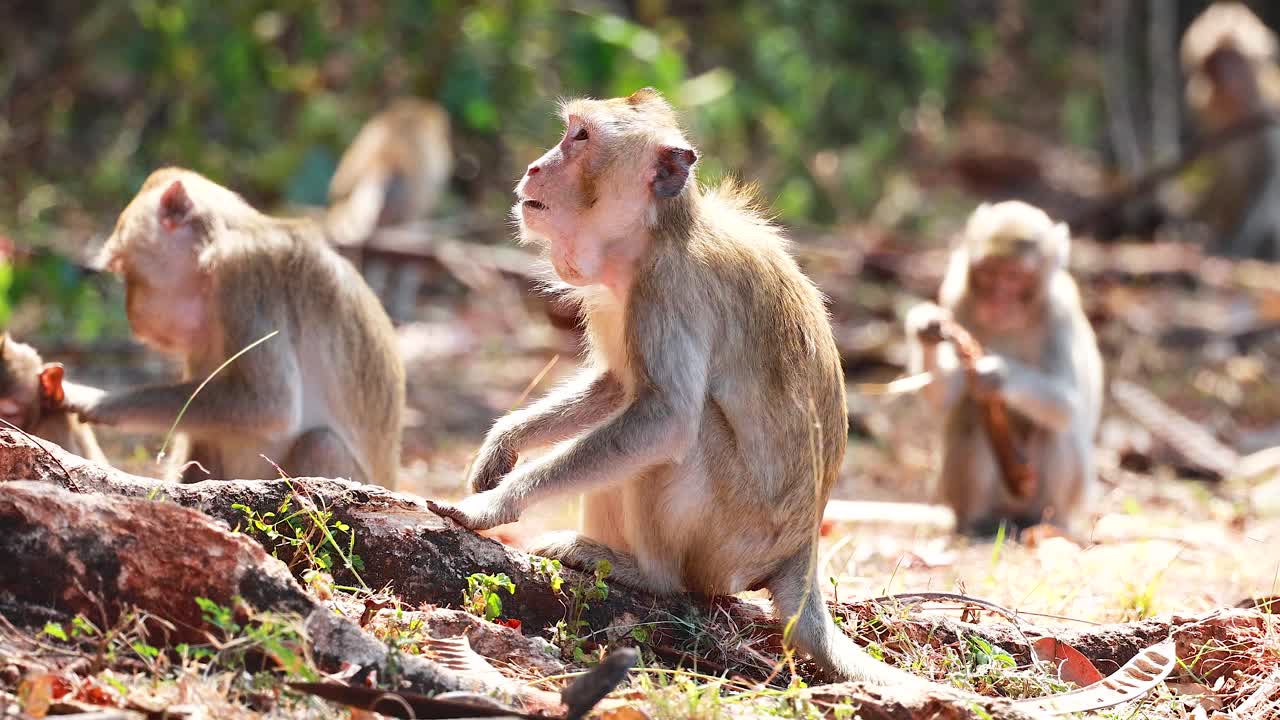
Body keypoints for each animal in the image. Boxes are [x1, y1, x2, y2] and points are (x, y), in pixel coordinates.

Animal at [66, 168, 405, 487]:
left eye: (124, 270)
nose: (131, 313)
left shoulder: (244, 275)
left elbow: (270, 405)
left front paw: (98, 401)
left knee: (321, 443)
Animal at [428, 89, 933, 687]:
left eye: (581, 138)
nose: (534, 167)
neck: (656, 234)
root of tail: (801, 550)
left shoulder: (667, 289)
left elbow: (665, 417)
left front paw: (498, 503)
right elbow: (617, 386)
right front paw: (504, 441)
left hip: (729, 541)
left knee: (685, 437)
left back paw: (648, 575)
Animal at [904, 201, 1103, 536]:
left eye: (1013, 276)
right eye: (988, 273)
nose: (997, 300)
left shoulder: (1059, 311)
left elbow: (1068, 402)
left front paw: (996, 373)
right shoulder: (956, 295)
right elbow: (946, 397)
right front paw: (925, 328)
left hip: (1071, 491)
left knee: (1054, 430)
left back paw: (1046, 521)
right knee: (970, 415)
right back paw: (976, 523)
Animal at [1181, 2, 1280, 260]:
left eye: (1235, 59)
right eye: (1215, 62)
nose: (1227, 75)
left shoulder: (1268, 113)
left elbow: (1270, 182)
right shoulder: (1206, 115)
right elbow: (1226, 177)